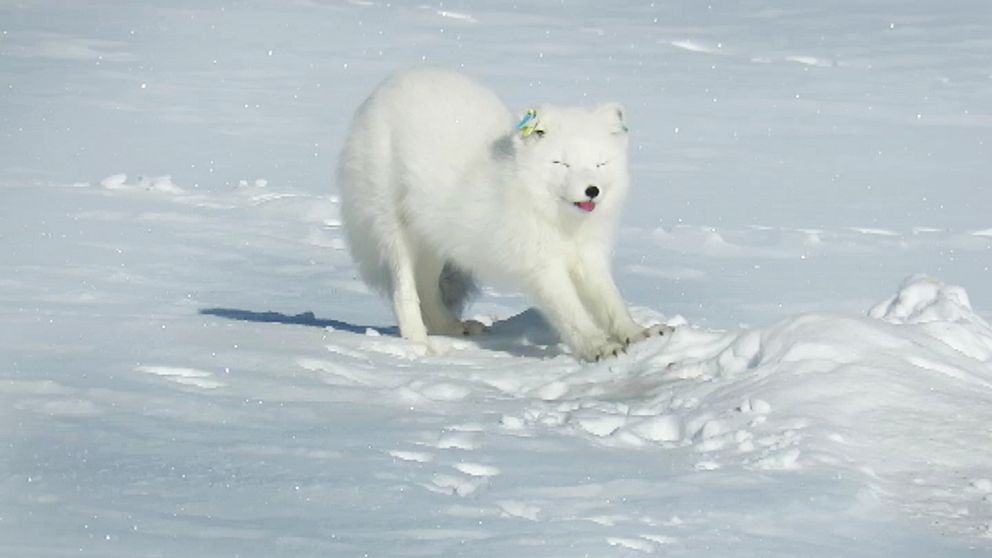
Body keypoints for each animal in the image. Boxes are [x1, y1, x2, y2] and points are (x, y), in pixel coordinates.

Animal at [338, 68, 672, 364]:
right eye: (562, 163)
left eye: (600, 163)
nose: (592, 191)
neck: (558, 221)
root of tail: (388, 84)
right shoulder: (541, 265)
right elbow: (571, 311)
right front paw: (598, 347)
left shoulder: (589, 256)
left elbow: (611, 302)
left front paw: (638, 334)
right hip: (394, 228)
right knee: (404, 292)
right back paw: (420, 346)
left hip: (436, 238)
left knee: (427, 288)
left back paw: (450, 327)